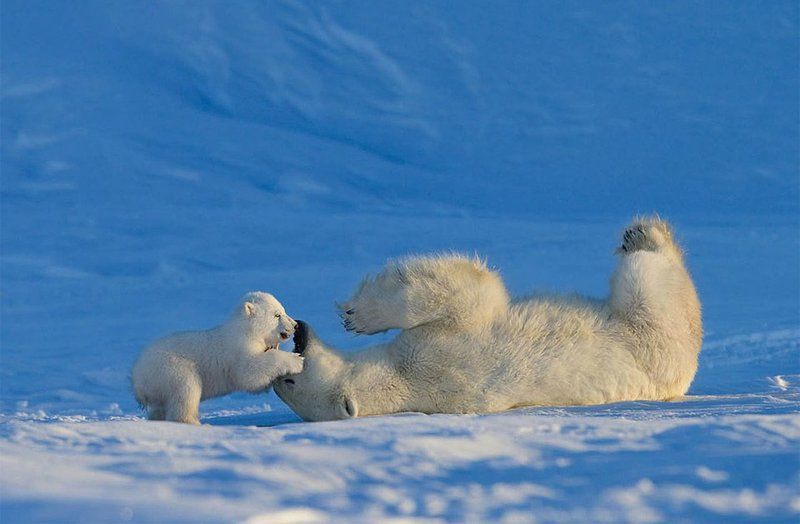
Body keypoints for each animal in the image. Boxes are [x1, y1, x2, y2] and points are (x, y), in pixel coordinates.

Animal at [133, 292, 304, 424]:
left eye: (283, 310)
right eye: (277, 315)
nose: (295, 325)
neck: (245, 330)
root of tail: (138, 380)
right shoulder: (239, 349)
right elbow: (249, 374)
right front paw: (296, 360)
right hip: (170, 368)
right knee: (186, 388)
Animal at [276, 217, 700, 422]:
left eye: (288, 381)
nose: (299, 331)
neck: (404, 382)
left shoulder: (437, 352)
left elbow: (465, 296)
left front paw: (357, 315)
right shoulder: (441, 356)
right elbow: (469, 295)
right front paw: (357, 314)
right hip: (653, 335)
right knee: (648, 282)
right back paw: (645, 236)